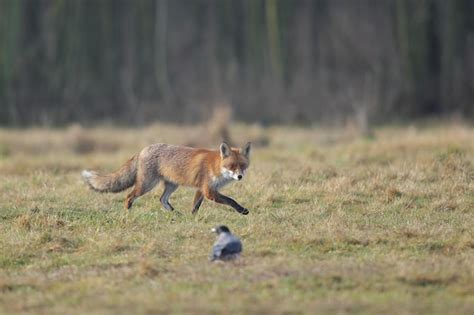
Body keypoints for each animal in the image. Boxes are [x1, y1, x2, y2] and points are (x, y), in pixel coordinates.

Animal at [81, 143, 252, 215]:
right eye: (232, 166)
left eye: (243, 165)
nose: (239, 176)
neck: (216, 166)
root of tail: (143, 149)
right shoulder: (208, 191)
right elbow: (231, 200)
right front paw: (243, 210)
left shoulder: (202, 189)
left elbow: (195, 206)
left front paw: (192, 218)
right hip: (147, 185)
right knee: (129, 196)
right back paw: (128, 213)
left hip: (172, 185)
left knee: (162, 200)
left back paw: (176, 214)